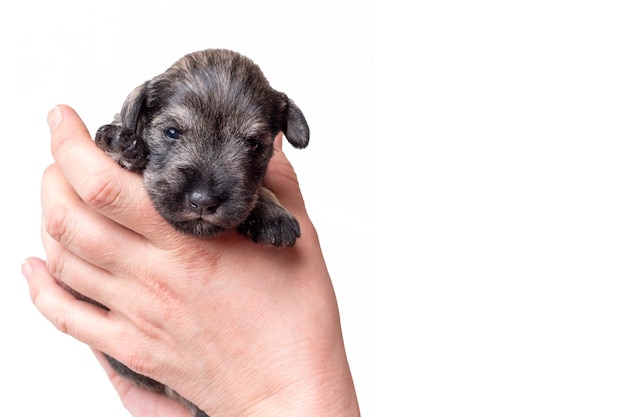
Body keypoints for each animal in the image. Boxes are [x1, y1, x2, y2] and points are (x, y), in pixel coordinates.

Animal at [91, 48, 310, 416]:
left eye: (254, 145)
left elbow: (261, 190)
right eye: (172, 133)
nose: (203, 201)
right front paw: (121, 144)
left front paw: (272, 212)